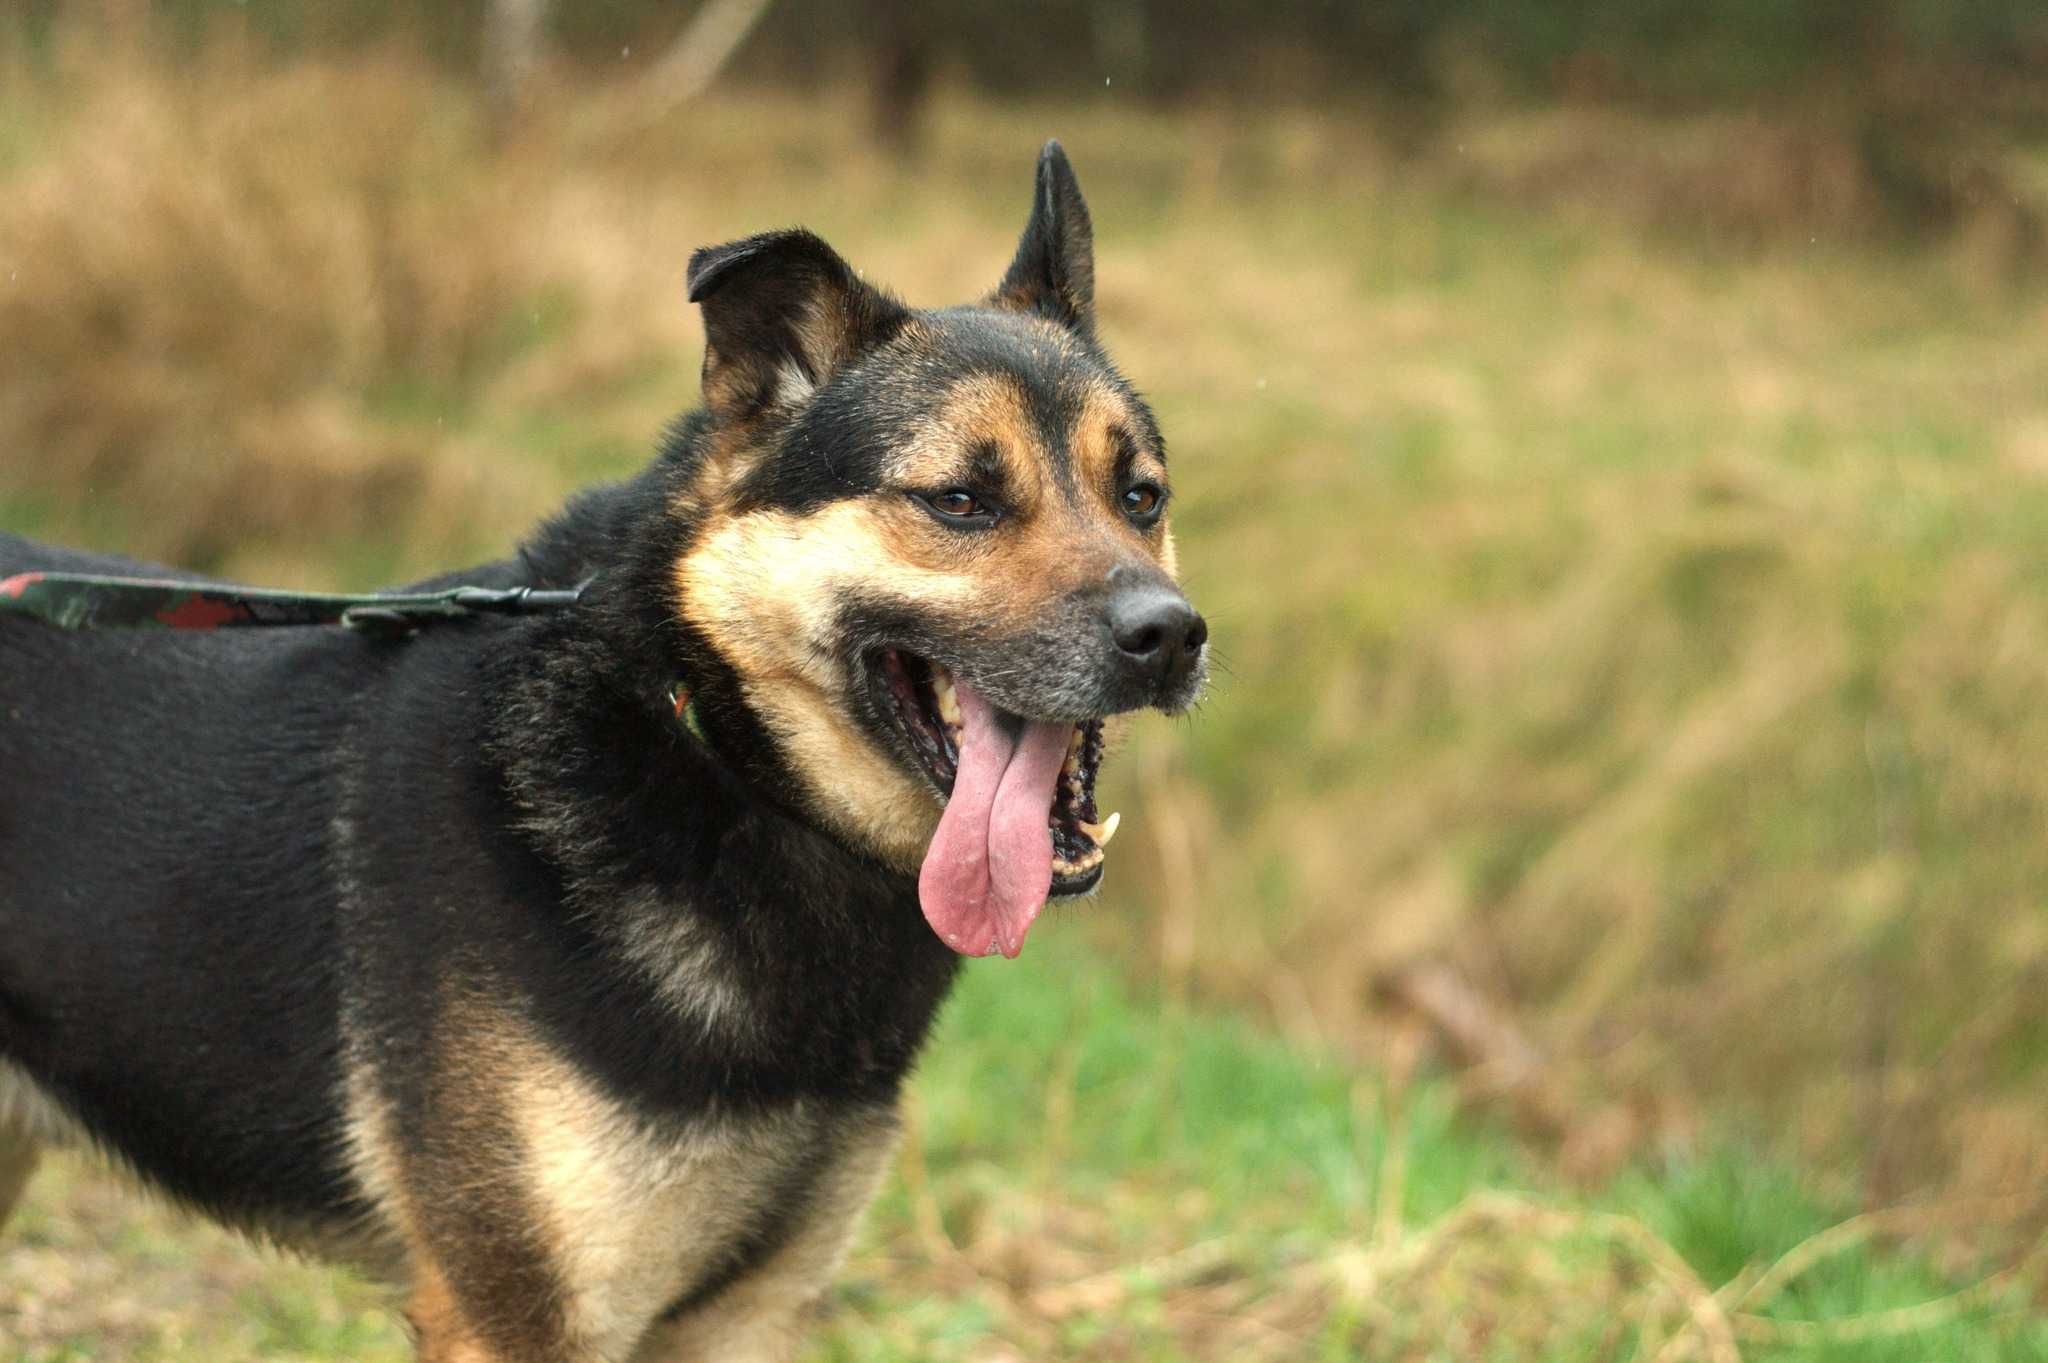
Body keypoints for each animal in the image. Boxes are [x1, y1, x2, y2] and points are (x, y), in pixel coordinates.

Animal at [0, 140, 1196, 1358]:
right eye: (958, 499)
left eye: (1140, 496)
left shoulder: (743, 1316)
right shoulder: (519, 1315)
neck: (706, 748)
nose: (1171, 636)